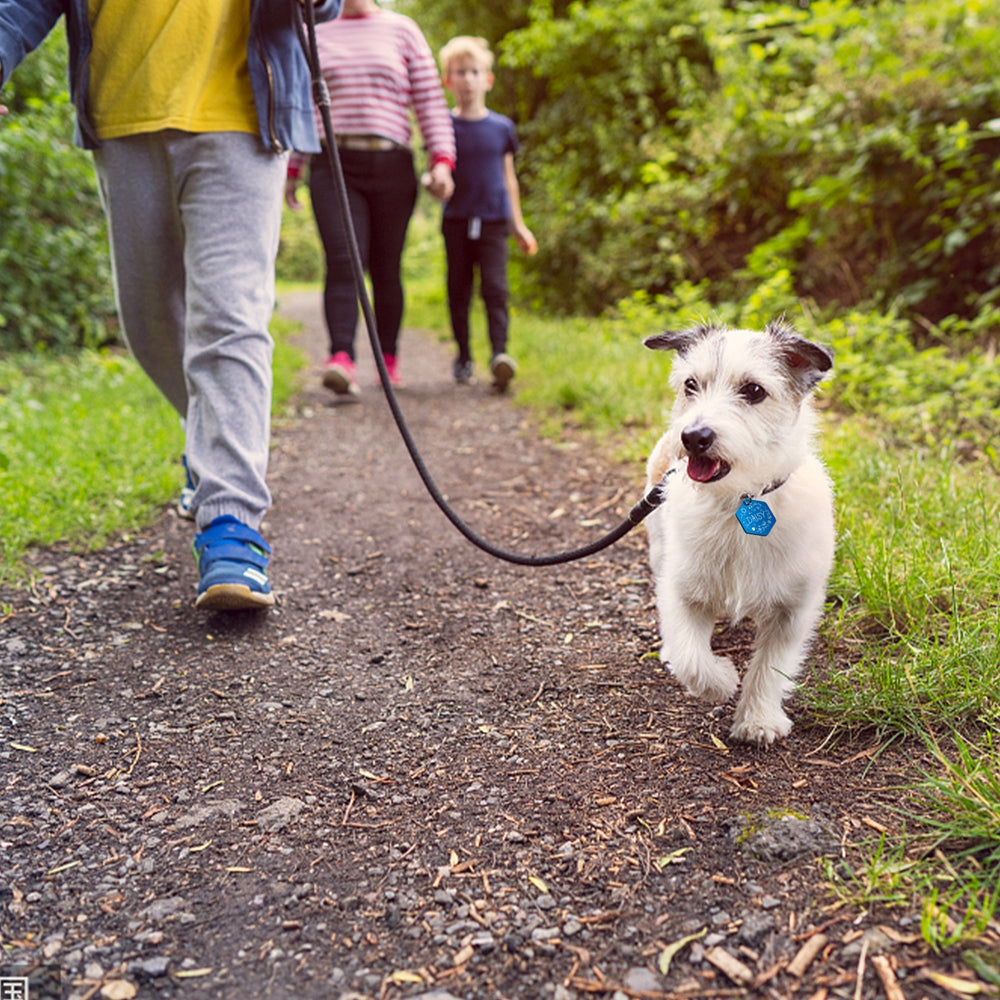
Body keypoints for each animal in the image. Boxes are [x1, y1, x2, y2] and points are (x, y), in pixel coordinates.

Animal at [640, 318, 836, 744]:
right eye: (691, 384)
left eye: (754, 390)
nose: (692, 436)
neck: (740, 500)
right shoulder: (682, 588)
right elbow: (692, 657)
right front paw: (722, 681)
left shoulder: (793, 610)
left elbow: (771, 666)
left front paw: (758, 719)